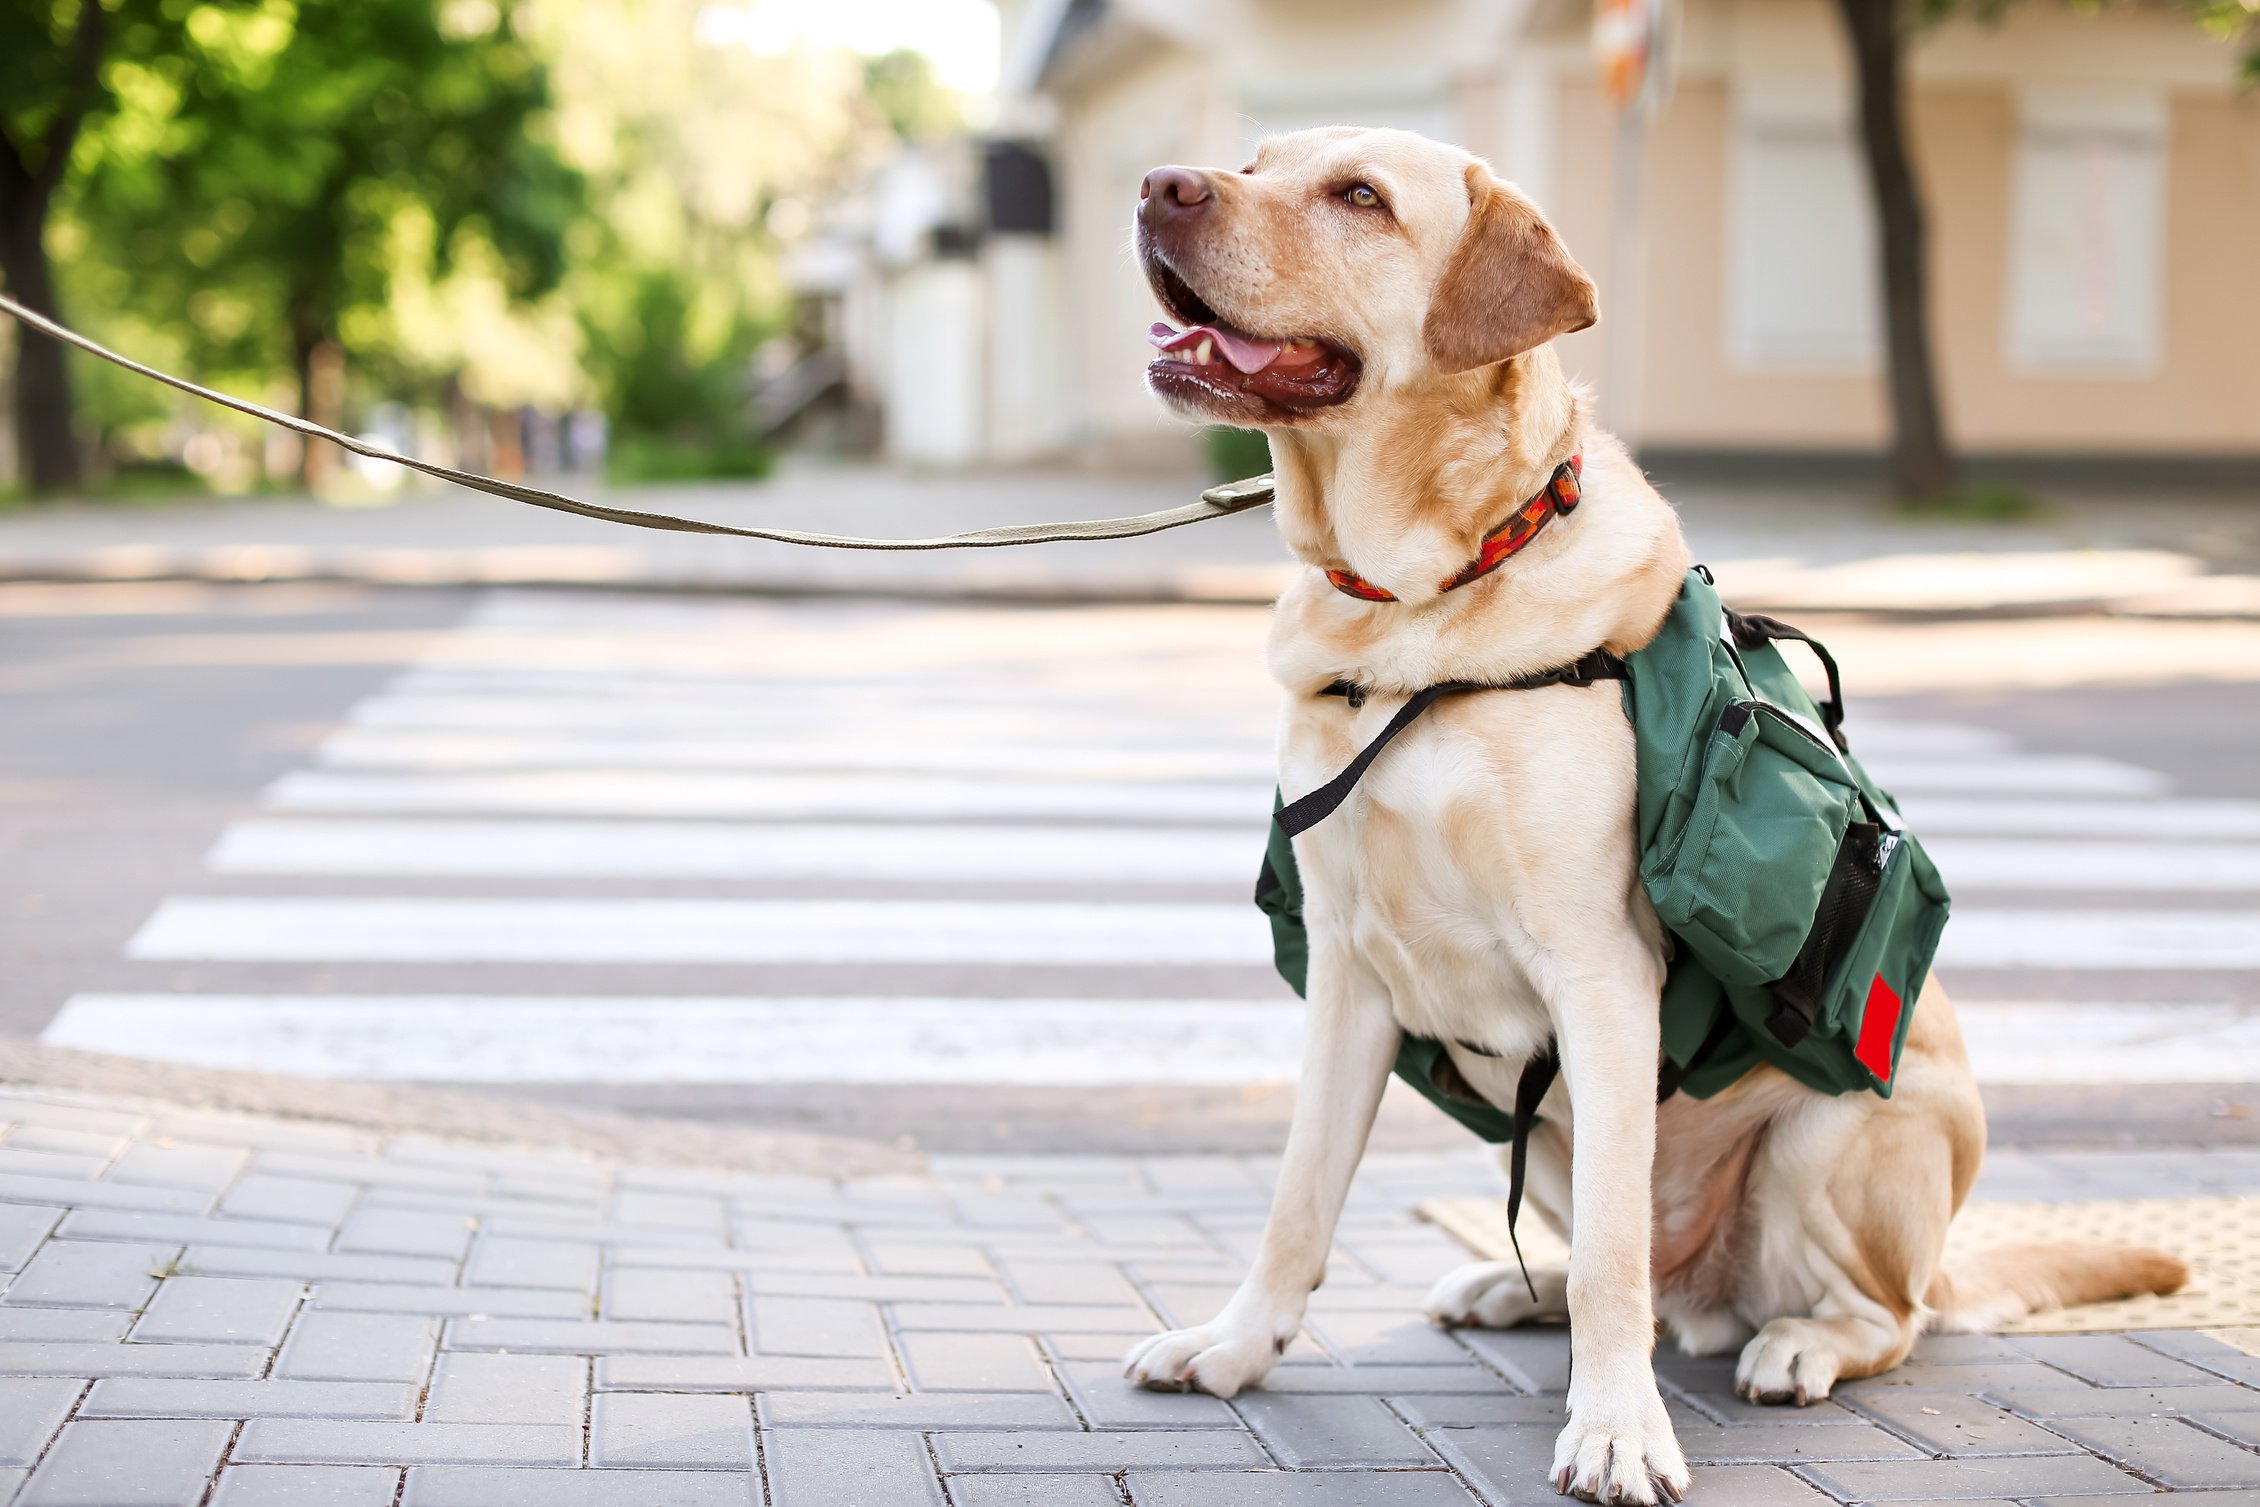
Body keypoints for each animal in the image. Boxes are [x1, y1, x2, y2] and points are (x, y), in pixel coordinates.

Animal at [1120, 123, 2178, 1500]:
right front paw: (1235, 1345)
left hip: (1831, 1141)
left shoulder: (1600, 977)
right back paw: (1511, 1284)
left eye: (1358, 197)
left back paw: (1796, 1342)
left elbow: (1611, 1272)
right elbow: (1297, 1201)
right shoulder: (1351, 975)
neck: (1415, 617)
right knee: (1631, 1275)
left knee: (1867, 1314)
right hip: (1533, 1139)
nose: (1159, 186)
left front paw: (1617, 1427)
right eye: (1256, 159)